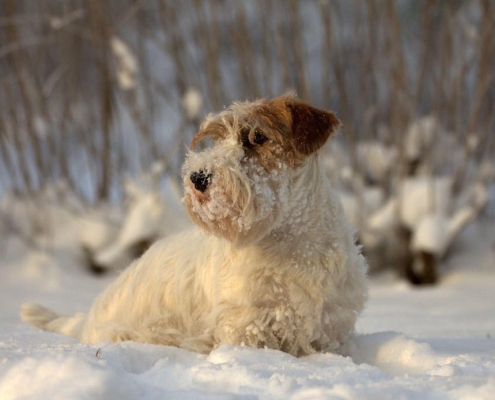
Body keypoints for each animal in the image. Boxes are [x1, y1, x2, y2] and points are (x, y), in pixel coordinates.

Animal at [23, 94, 368, 356]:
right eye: (216, 139)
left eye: (257, 137)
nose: (198, 177)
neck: (292, 242)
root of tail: (88, 319)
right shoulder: (245, 328)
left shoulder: (330, 329)